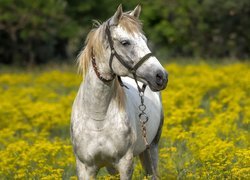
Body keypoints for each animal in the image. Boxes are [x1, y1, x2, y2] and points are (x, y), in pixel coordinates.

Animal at [70, 4, 168, 179]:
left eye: (145, 40)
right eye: (125, 42)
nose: (161, 76)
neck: (98, 118)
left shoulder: (125, 164)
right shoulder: (84, 167)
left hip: (151, 150)